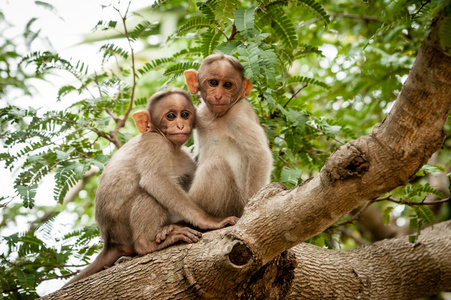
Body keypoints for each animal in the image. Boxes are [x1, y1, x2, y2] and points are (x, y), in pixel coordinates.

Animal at [66, 89, 240, 286]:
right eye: (171, 116)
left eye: (185, 114)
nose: (180, 125)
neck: (162, 137)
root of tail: (111, 242)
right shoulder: (155, 144)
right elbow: (155, 180)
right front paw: (208, 221)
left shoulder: (181, 154)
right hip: (123, 228)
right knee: (148, 194)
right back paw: (147, 244)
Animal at [185, 53, 276, 218]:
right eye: (213, 83)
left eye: (228, 85)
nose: (219, 96)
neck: (217, 117)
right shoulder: (200, 114)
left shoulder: (239, 115)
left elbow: (259, 153)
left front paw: (251, 201)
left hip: (231, 203)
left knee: (215, 165)